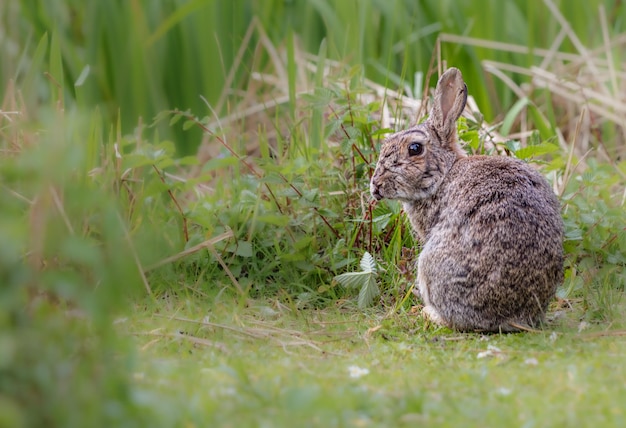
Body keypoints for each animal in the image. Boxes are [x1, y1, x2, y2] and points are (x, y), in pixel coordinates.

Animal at [368, 67, 564, 334]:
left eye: (415, 148)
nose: (375, 185)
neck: (446, 173)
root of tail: (508, 316)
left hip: (431, 265)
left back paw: (429, 314)